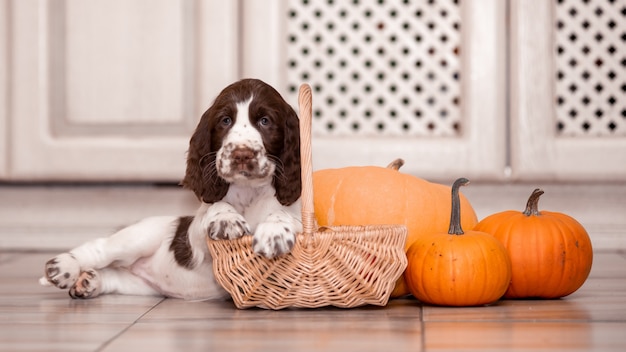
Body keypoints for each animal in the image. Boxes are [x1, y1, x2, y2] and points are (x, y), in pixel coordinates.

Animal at [39, 80, 302, 300]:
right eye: (225, 120)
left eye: (265, 121)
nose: (241, 154)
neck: (248, 193)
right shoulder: (197, 242)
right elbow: (213, 207)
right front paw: (226, 219)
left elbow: (285, 214)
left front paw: (275, 233)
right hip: (138, 237)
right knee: (99, 248)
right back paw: (63, 267)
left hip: (140, 286)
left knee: (115, 276)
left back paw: (89, 282)